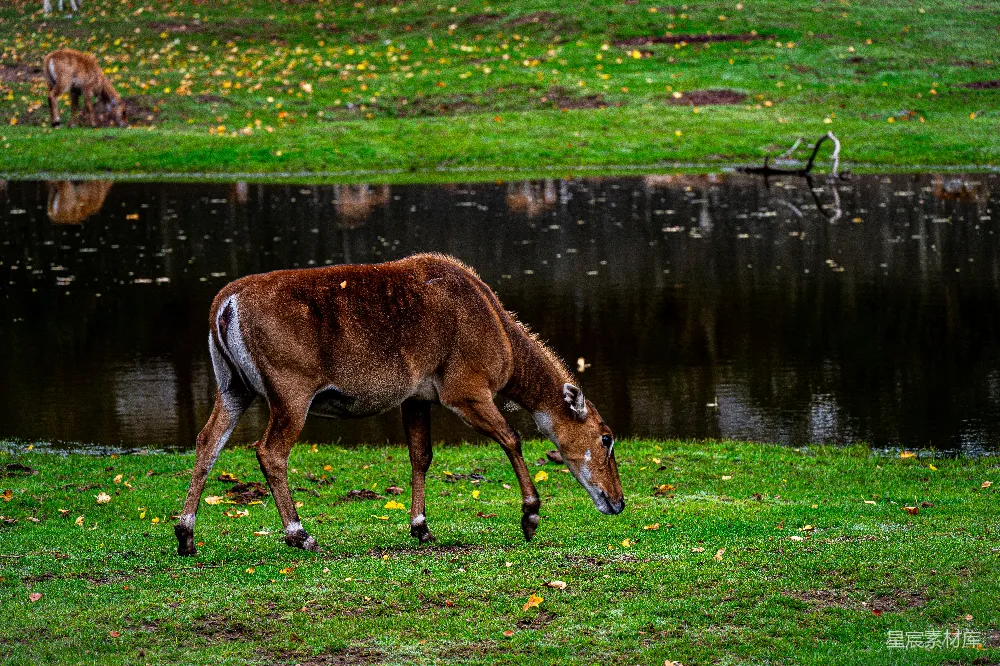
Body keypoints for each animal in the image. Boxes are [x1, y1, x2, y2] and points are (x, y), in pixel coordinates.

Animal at [175, 253, 625, 556]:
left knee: (206, 442)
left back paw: (186, 536)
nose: (617, 502)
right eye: (606, 438)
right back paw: (301, 534)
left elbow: (421, 456)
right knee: (269, 451)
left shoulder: (417, 398)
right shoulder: (464, 388)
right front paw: (530, 517)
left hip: (232, 386)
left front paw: (421, 527)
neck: (505, 348)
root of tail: (223, 308)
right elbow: (512, 438)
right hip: (290, 390)